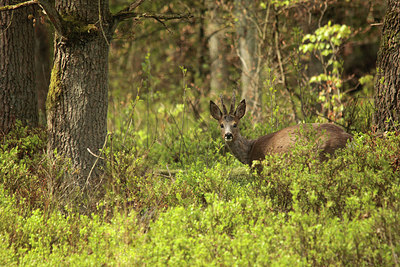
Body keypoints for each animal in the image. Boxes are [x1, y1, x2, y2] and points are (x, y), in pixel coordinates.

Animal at [209, 93, 354, 165]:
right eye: (221, 125)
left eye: (235, 124)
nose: (228, 135)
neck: (250, 152)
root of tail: (349, 137)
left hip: (319, 155)